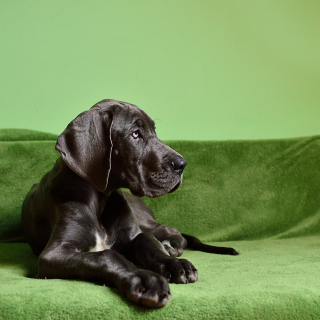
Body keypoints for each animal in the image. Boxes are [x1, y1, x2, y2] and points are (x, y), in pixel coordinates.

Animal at [21, 99, 238, 308]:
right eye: (135, 134)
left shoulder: (133, 233)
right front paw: (143, 278)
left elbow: (147, 241)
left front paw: (174, 264)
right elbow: (107, 255)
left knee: (168, 230)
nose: (182, 164)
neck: (100, 200)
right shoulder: (53, 255)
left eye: (154, 131)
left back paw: (170, 246)